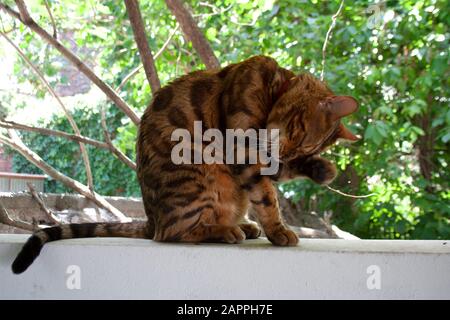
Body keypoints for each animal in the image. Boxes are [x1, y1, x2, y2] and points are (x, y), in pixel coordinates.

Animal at [11, 54, 358, 272]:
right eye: (299, 134)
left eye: (302, 150)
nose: (286, 154)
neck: (273, 84)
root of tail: (151, 220)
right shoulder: (243, 150)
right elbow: (267, 198)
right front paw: (278, 230)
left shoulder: (262, 156)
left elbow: (274, 179)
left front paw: (322, 169)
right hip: (195, 173)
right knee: (173, 232)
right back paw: (224, 231)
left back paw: (242, 225)